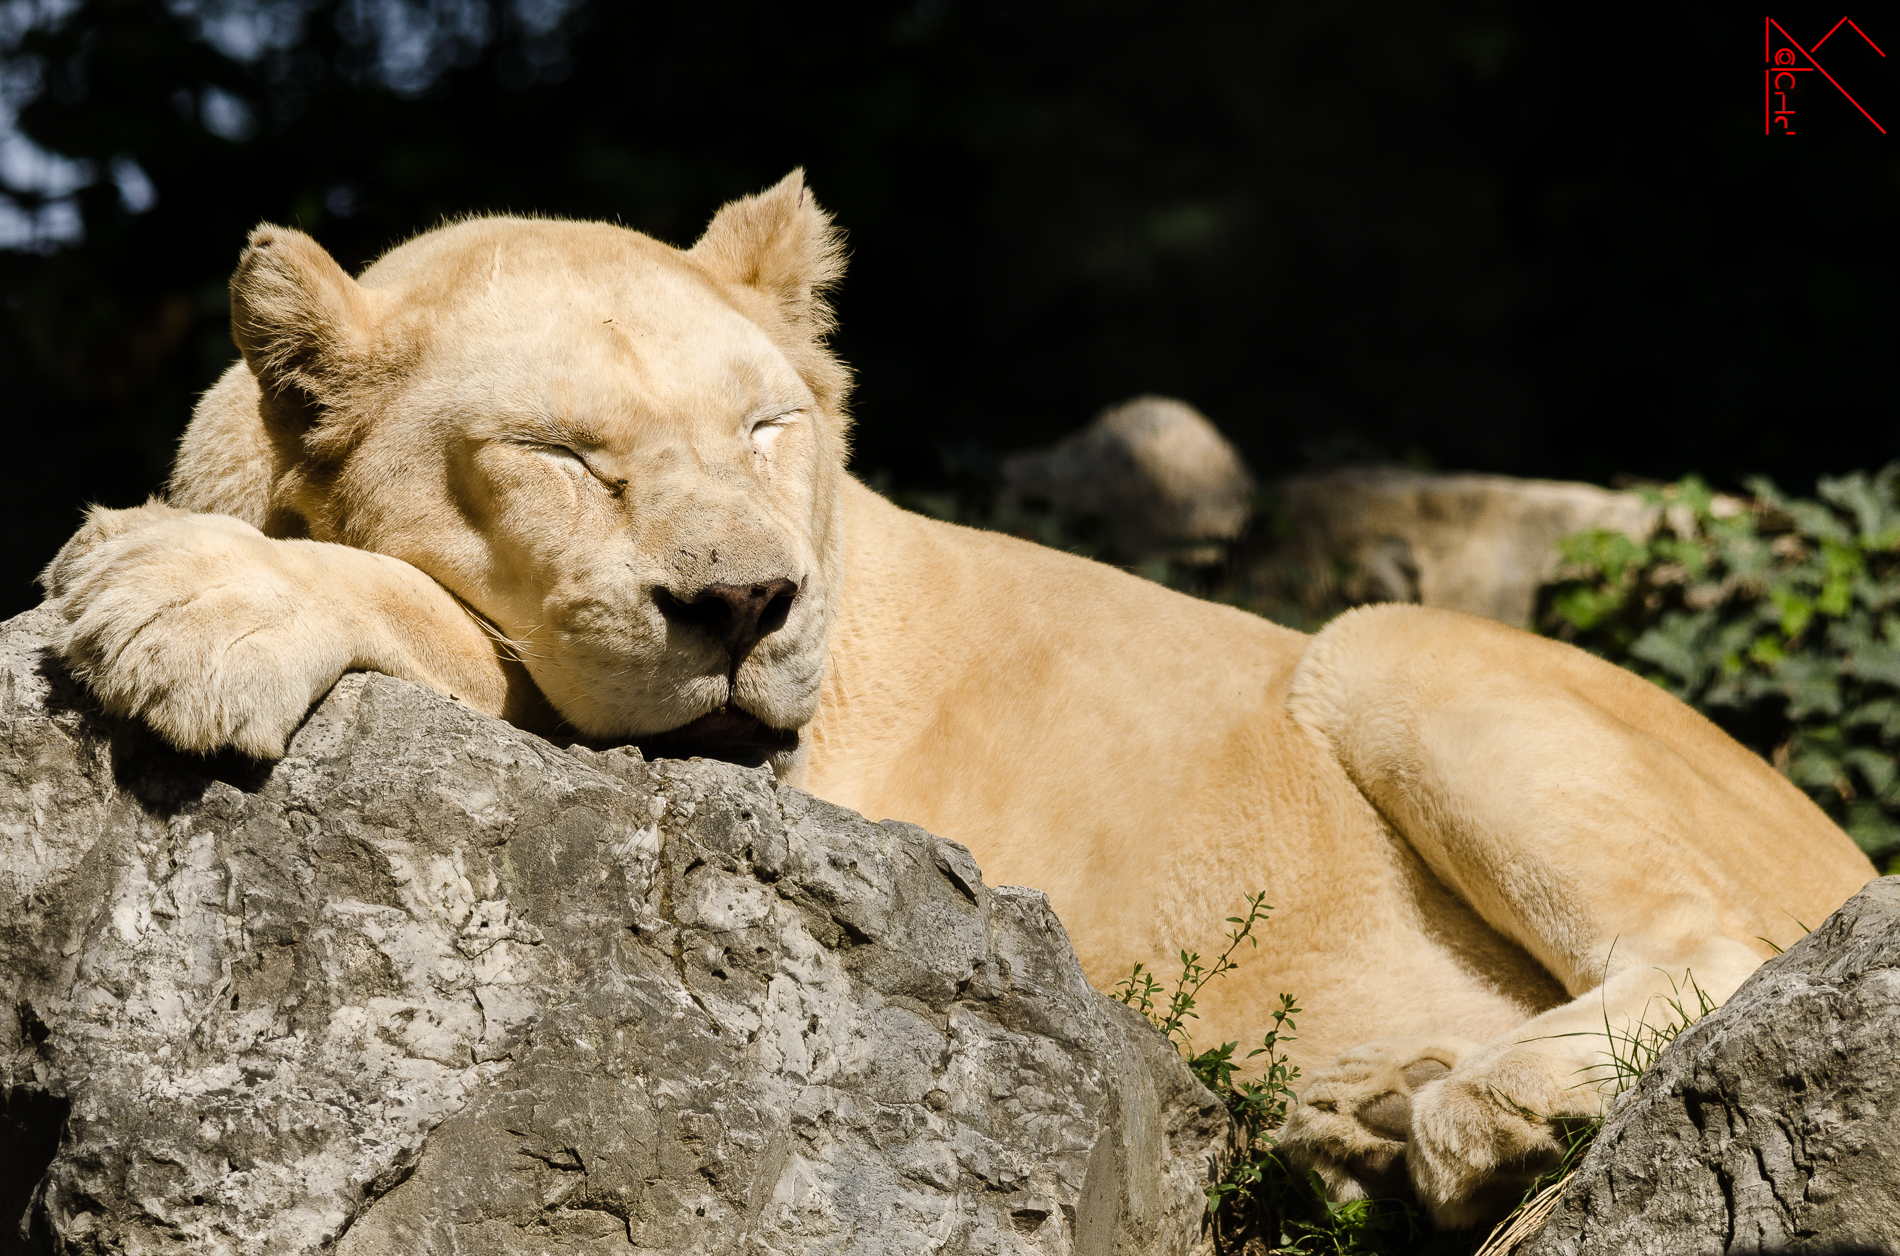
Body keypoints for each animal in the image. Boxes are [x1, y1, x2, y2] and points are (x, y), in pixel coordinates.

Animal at [40, 171, 1875, 1228]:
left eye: (766, 425)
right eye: (563, 454)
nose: (744, 603)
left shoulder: (765, 778)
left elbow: (454, 622)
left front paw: (180, 600)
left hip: (1382, 643)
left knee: (1712, 942)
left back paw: (1470, 1113)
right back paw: (1356, 1120)